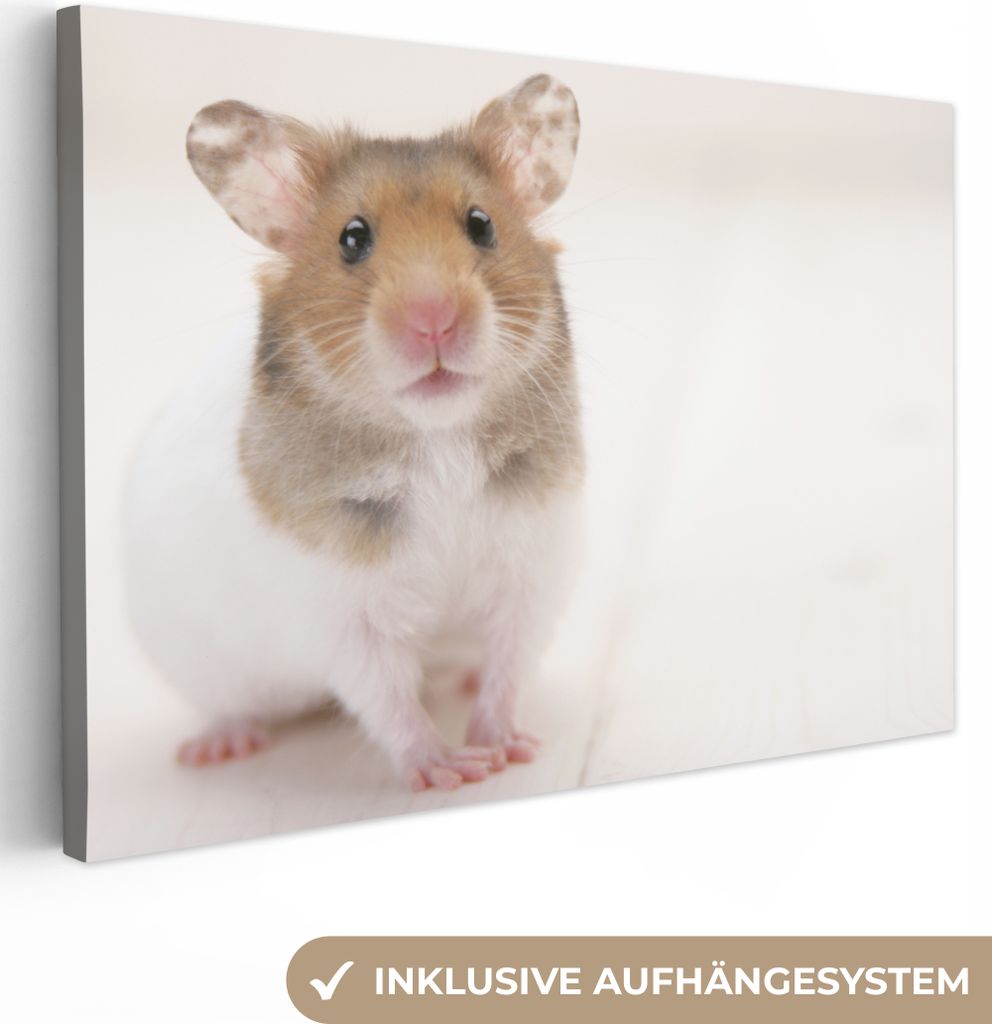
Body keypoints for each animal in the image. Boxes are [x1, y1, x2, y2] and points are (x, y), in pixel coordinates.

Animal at [124, 74, 584, 791]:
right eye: (352, 238)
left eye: (481, 225)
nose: (434, 320)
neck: (437, 439)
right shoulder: (344, 615)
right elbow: (389, 700)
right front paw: (451, 769)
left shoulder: (531, 570)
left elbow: (508, 665)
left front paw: (507, 748)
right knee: (230, 708)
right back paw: (219, 747)